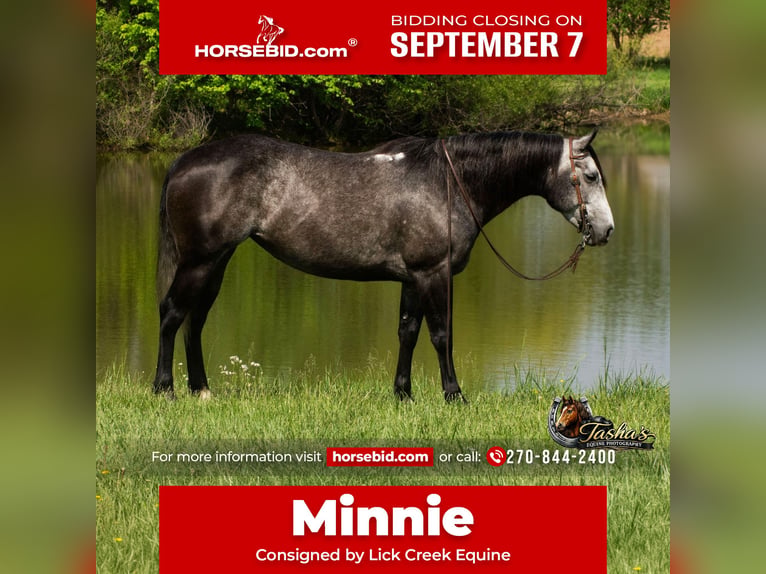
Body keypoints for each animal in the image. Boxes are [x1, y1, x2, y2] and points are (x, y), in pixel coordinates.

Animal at [151, 131, 614, 402]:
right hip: (200, 262)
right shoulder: (434, 274)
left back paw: (201, 390)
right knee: (172, 315)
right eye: (591, 176)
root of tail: (184, 160)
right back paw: (164, 389)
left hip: (216, 263)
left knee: (194, 321)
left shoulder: (413, 278)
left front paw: (403, 395)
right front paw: (454, 395)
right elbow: (442, 335)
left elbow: (408, 332)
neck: (446, 182)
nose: (606, 230)